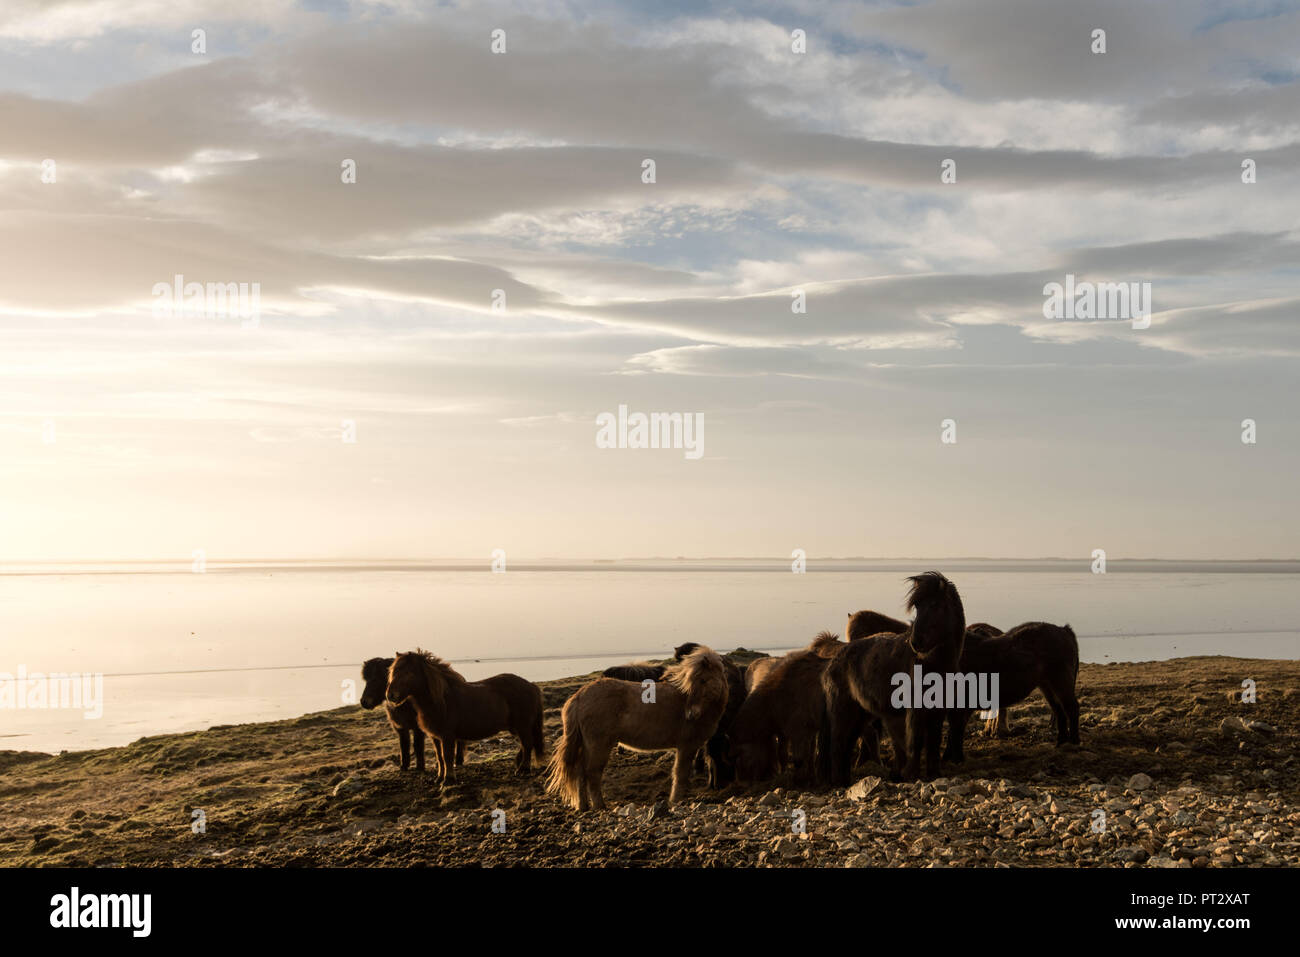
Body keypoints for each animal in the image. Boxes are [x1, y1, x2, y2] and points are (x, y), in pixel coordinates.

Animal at [384, 650, 548, 785]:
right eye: (393, 671)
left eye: (407, 673)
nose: (390, 695)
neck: (441, 700)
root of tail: (531, 686)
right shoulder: (436, 737)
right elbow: (439, 757)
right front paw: (439, 778)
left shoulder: (447, 736)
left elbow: (447, 756)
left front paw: (448, 779)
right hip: (517, 727)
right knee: (526, 744)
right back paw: (518, 764)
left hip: (523, 726)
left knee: (527, 744)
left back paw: (523, 769)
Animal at [546, 642, 733, 806]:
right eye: (694, 681)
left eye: (703, 681)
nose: (691, 714)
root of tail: (579, 696)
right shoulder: (686, 746)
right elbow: (680, 774)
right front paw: (675, 800)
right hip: (598, 745)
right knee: (592, 773)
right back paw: (600, 806)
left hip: (586, 745)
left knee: (580, 773)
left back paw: (583, 806)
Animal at [821, 566, 967, 785]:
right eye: (917, 606)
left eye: (935, 605)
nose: (916, 642)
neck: (933, 664)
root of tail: (834, 660)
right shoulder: (915, 710)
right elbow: (915, 741)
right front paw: (910, 774)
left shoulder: (938, 710)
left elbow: (933, 741)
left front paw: (934, 773)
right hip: (843, 712)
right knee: (838, 743)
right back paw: (839, 781)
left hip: (861, 715)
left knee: (849, 743)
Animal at [941, 621, 1081, 764]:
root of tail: (1064, 630)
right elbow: (954, 729)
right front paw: (948, 757)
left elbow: (956, 729)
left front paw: (957, 758)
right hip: (1047, 687)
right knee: (1059, 710)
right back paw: (1061, 744)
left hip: (1061, 682)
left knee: (1071, 708)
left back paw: (1073, 743)